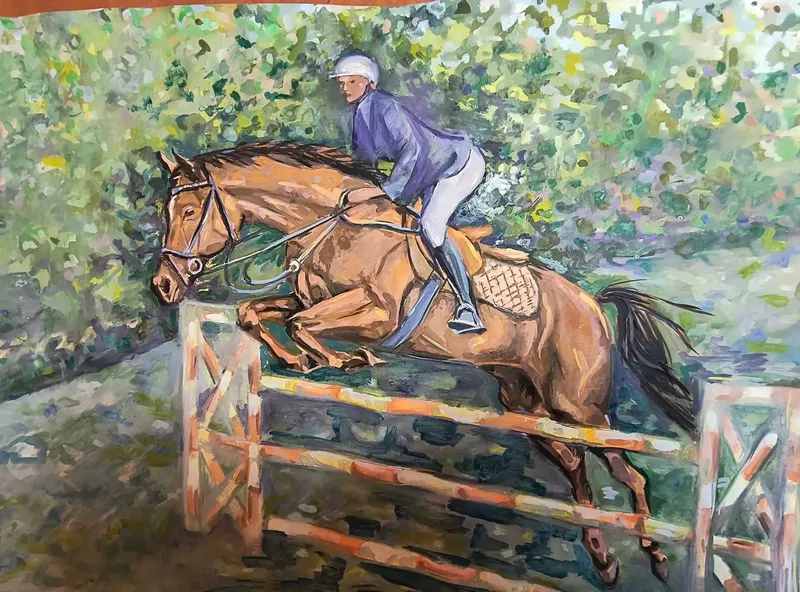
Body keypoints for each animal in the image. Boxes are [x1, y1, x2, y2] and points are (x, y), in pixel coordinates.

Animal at [150, 140, 705, 587]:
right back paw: (604, 562)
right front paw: (301, 358)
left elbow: (306, 325)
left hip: (579, 409)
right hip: (528, 407)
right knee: (575, 471)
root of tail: (592, 303)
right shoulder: (309, 298)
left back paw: (654, 557)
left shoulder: (377, 314)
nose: (163, 285)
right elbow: (258, 314)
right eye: (167, 209)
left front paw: (343, 359)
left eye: (192, 209)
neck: (334, 230)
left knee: (629, 474)